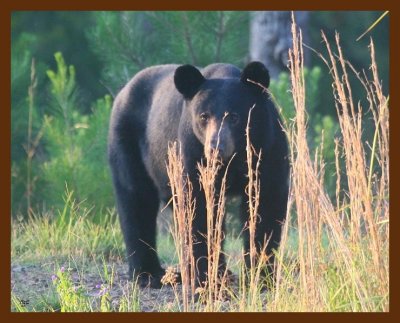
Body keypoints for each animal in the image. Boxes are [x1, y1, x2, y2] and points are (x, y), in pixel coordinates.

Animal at [108, 61, 290, 288]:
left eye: (235, 117)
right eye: (204, 116)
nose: (215, 148)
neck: (233, 159)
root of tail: (122, 91)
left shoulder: (268, 149)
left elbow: (265, 204)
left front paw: (261, 277)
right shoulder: (192, 152)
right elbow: (198, 209)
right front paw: (206, 279)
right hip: (127, 142)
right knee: (136, 199)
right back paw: (149, 275)